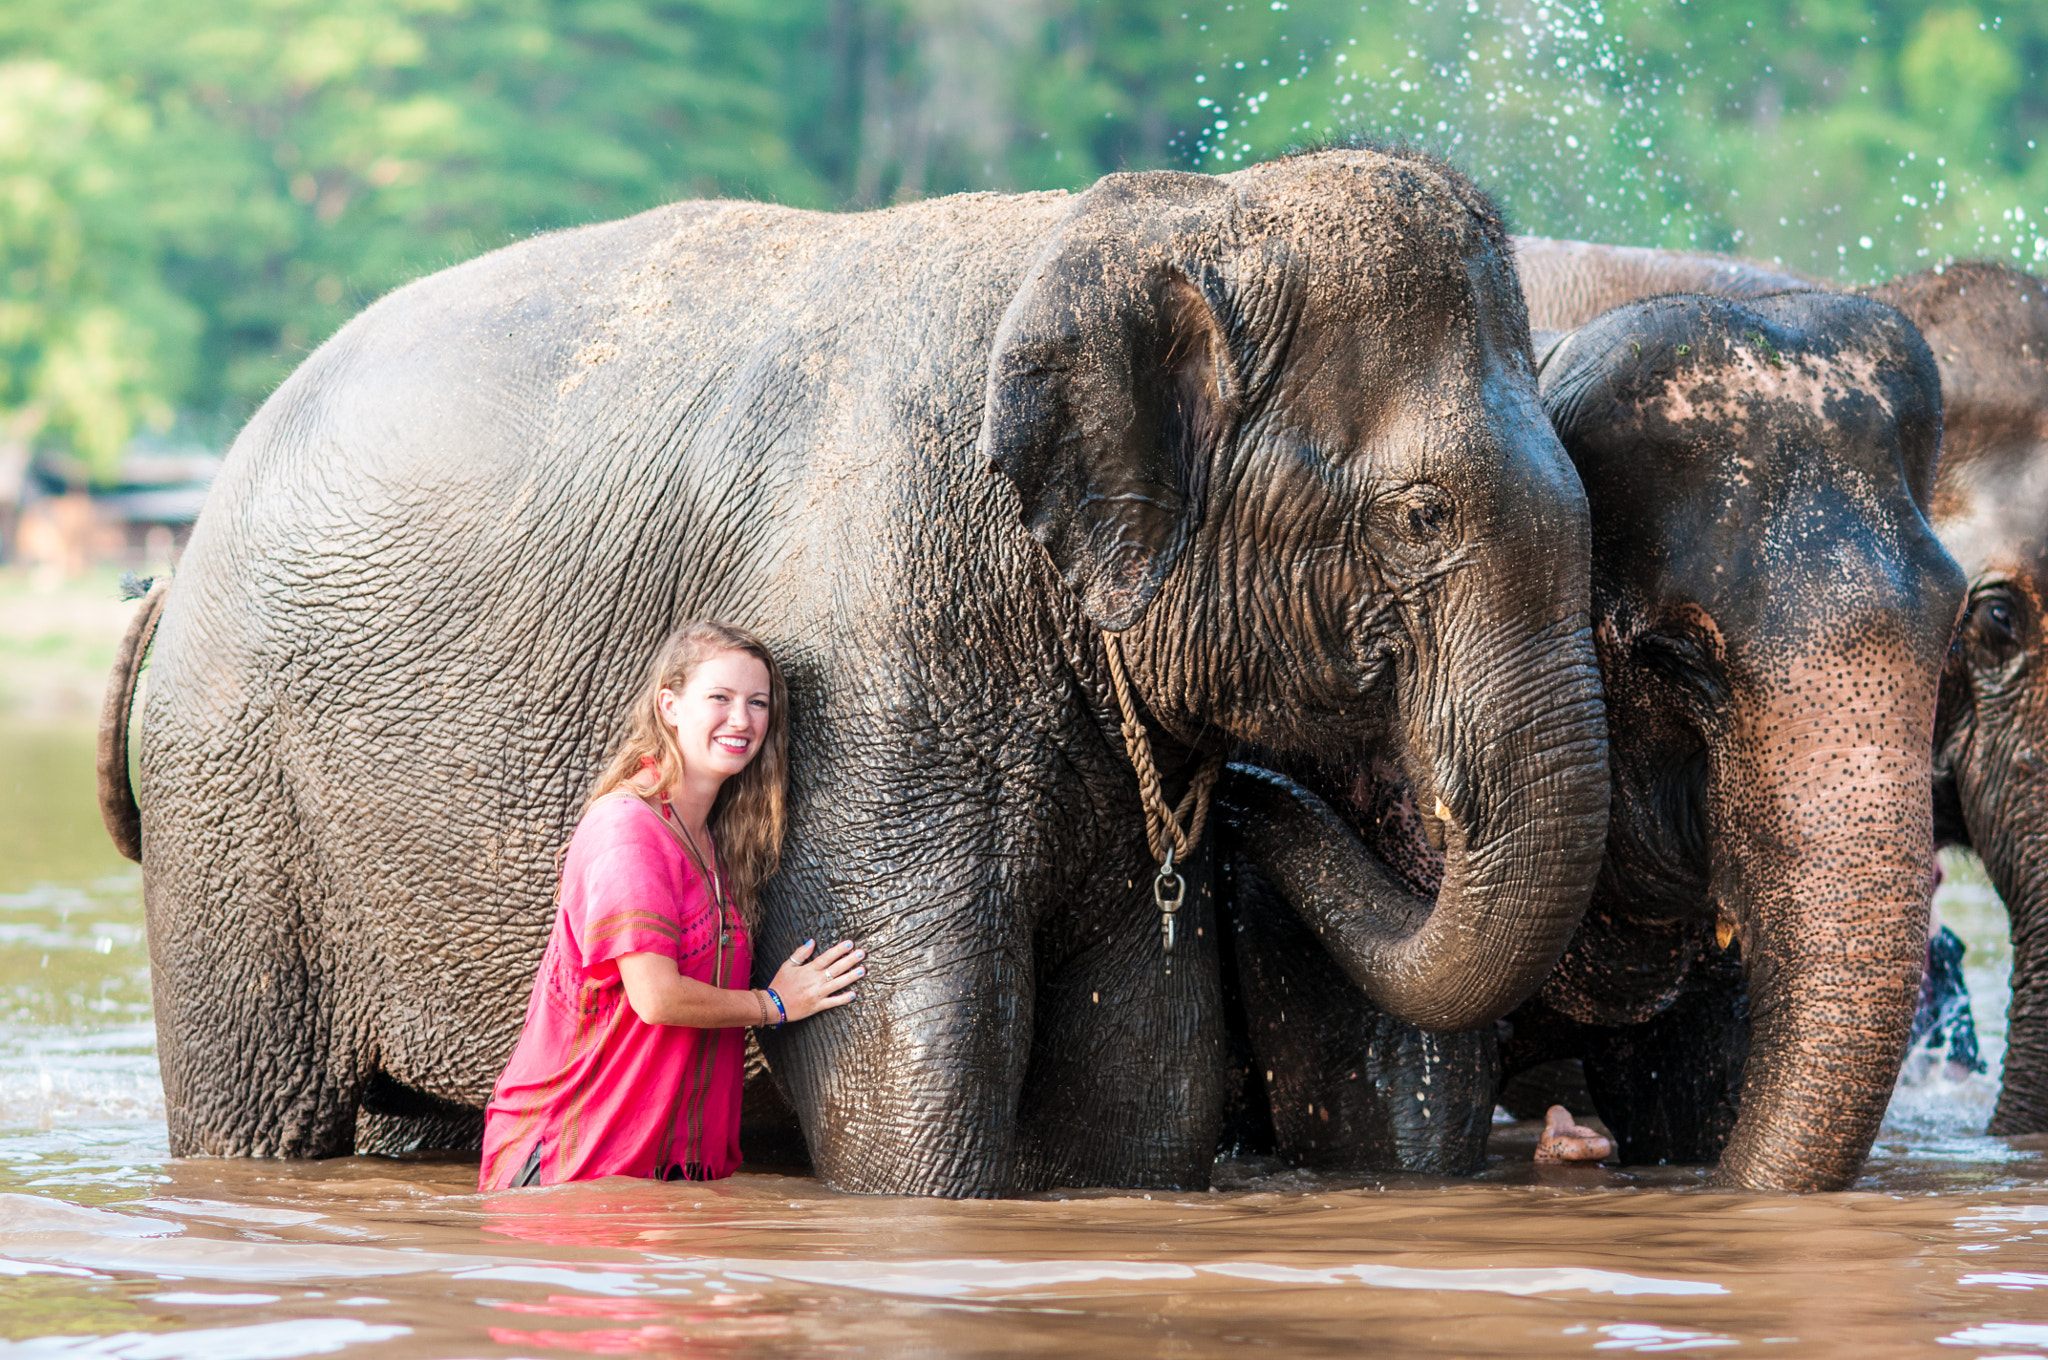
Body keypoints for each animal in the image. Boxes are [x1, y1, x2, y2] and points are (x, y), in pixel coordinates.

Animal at [103, 146, 1613, 1204]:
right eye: (1419, 518)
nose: (1257, 794)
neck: (1153, 221)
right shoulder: (868, 644)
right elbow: (905, 1065)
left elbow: (1143, 1083)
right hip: (233, 811)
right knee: (263, 1111)